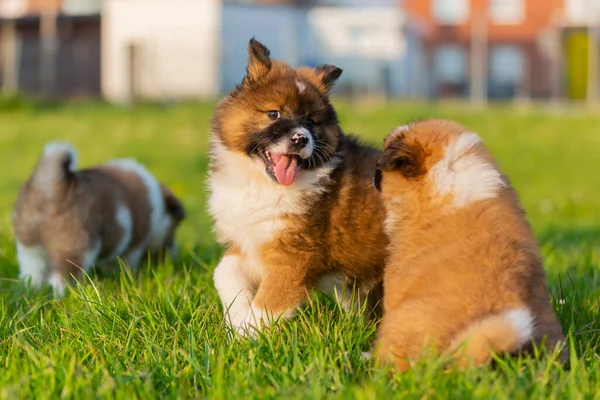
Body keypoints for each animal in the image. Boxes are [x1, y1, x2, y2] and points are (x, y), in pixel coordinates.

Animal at [12, 142, 185, 296]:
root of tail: (50, 182)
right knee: (61, 278)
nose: (171, 256)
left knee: (32, 273)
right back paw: (68, 294)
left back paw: (31, 291)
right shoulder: (134, 246)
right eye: (174, 228)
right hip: (74, 248)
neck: (158, 210)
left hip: (28, 246)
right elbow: (124, 263)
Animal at [209, 39, 386, 336]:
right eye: (274, 113)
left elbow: (266, 307)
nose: (301, 139)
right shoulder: (249, 241)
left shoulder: (292, 257)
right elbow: (224, 273)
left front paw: (246, 337)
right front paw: (236, 318)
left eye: (311, 122)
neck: (261, 184)